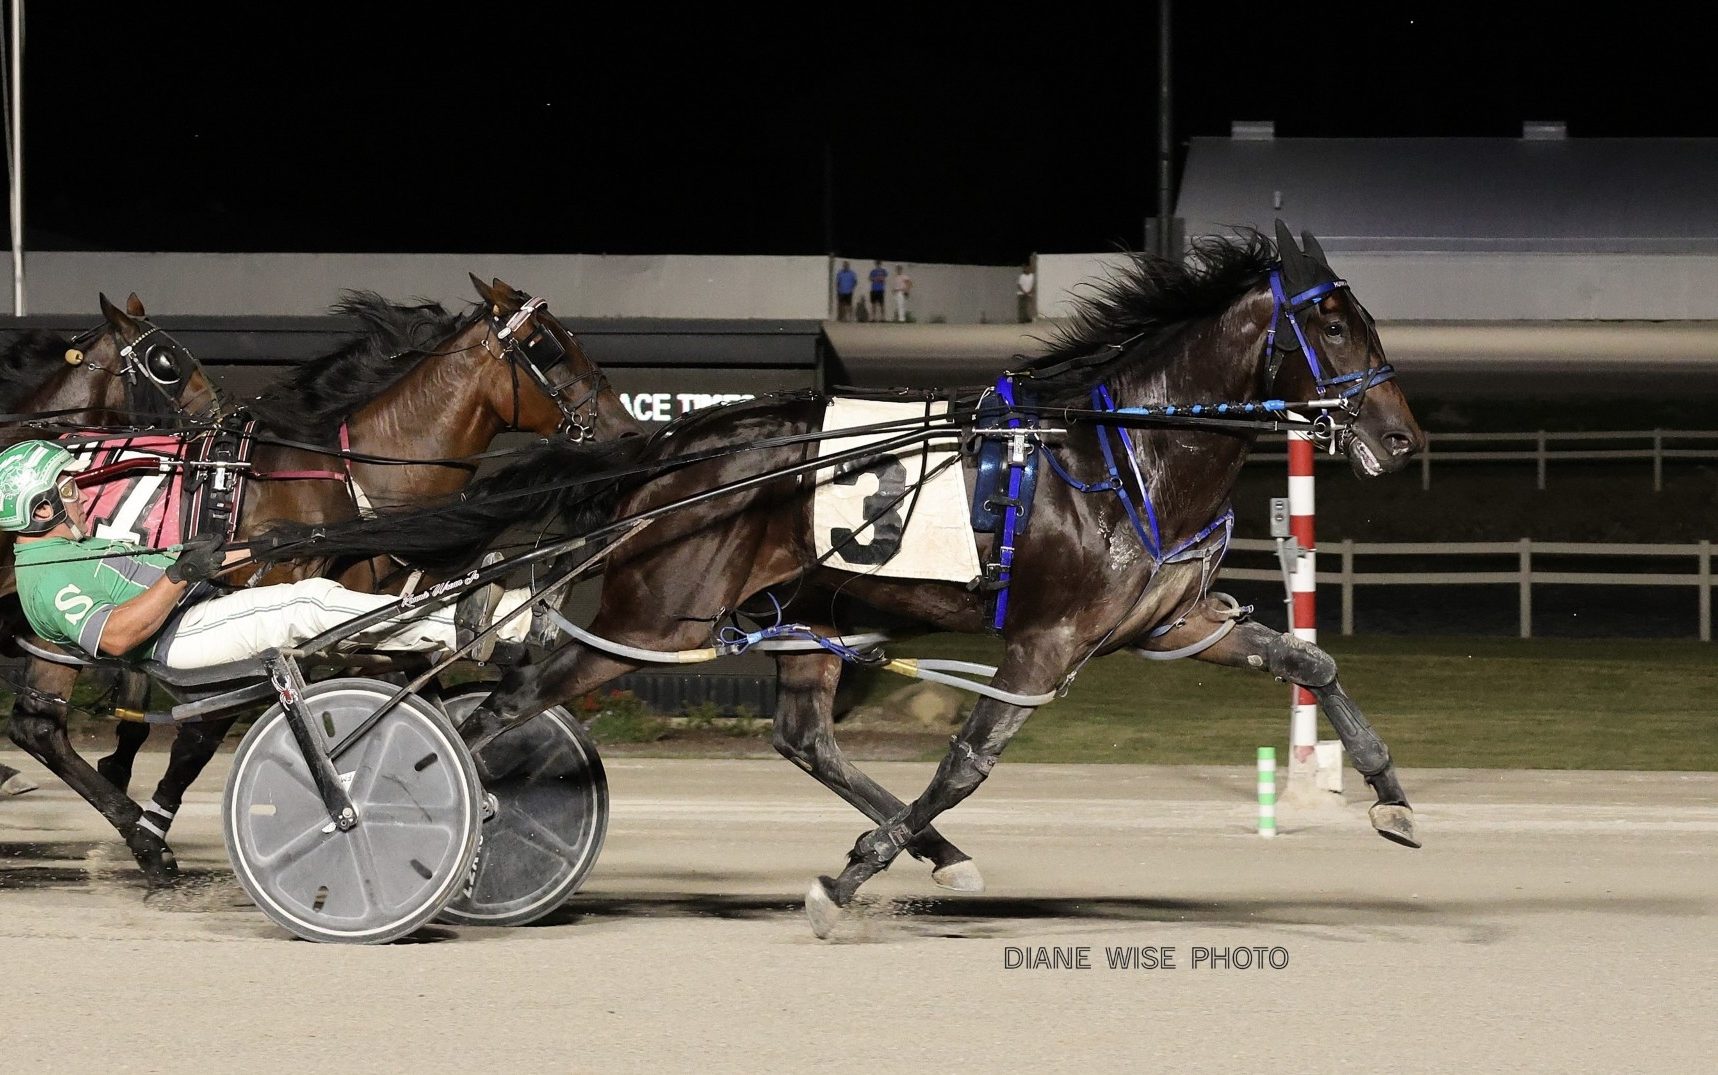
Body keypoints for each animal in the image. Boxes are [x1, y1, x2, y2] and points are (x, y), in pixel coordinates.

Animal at [4, 276, 642, 879]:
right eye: (548, 347)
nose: (626, 430)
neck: (341, 479)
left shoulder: (372, 609)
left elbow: (411, 680)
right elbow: (205, 732)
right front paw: (157, 827)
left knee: (39, 723)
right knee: (40, 722)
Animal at [307, 223, 1425, 935]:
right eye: (1333, 325)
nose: (1403, 438)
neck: (1120, 456)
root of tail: (678, 445)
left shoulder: (1174, 621)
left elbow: (1313, 665)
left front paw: (1392, 799)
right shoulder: (1045, 641)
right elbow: (969, 762)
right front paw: (842, 883)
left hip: (800, 617)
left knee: (802, 737)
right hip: (659, 619)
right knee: (504, 703)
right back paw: (390, 817)